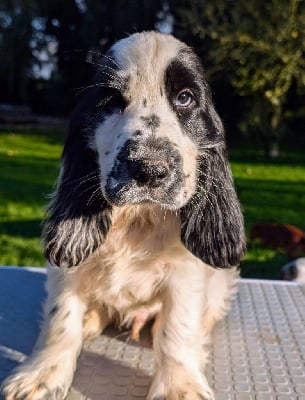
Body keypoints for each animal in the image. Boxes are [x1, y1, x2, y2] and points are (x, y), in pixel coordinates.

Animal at [1, 32, 245, 400]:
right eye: (111, 100)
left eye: (185, 98)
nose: (150, 169)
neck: (136, 217)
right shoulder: (67, 268)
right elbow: (61, 318)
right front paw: (42, 376)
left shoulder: (186, 272)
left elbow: (177, 328)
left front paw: (179, 386)